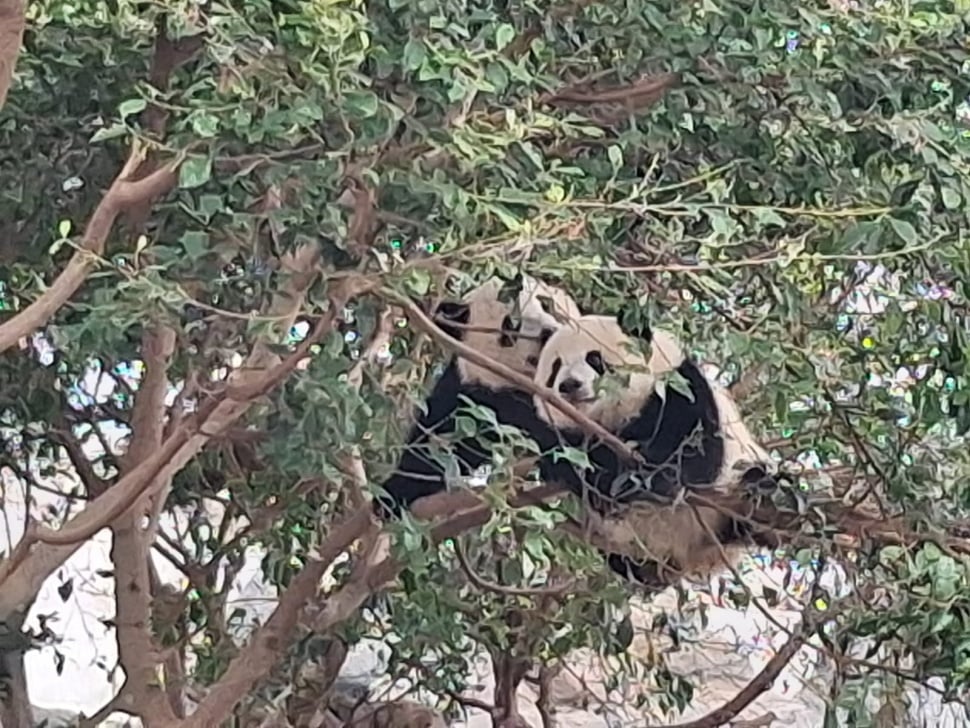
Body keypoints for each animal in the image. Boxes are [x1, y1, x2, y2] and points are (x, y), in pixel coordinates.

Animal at [373, 274, 581, 518]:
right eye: (511, 327)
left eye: (546, 304)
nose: (547, 334)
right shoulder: (480, 400)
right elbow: (439, 443)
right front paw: (393, 492)